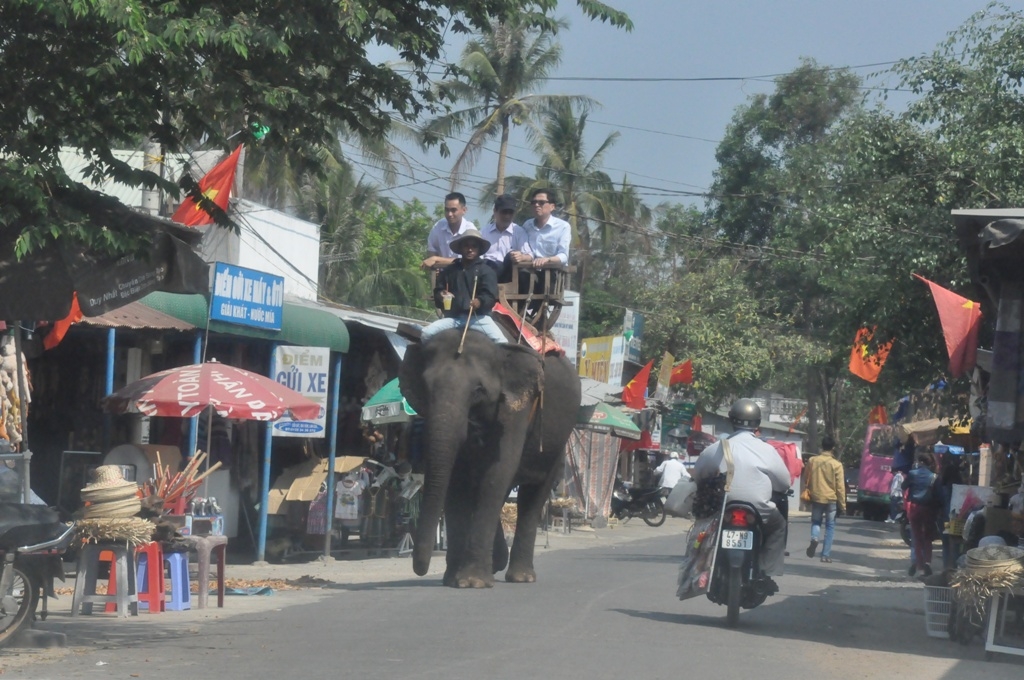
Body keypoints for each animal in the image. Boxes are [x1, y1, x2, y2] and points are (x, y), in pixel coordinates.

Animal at [395, 327, 581, 585]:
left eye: (478, 390)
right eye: (425, 386)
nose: (420, 569)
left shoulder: (517, 408)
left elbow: (499, 469)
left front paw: (472, 582)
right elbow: (457, 479)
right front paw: (453, 579)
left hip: (557, 443)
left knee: (533, 495)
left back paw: (521, 576)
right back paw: (497, 562)